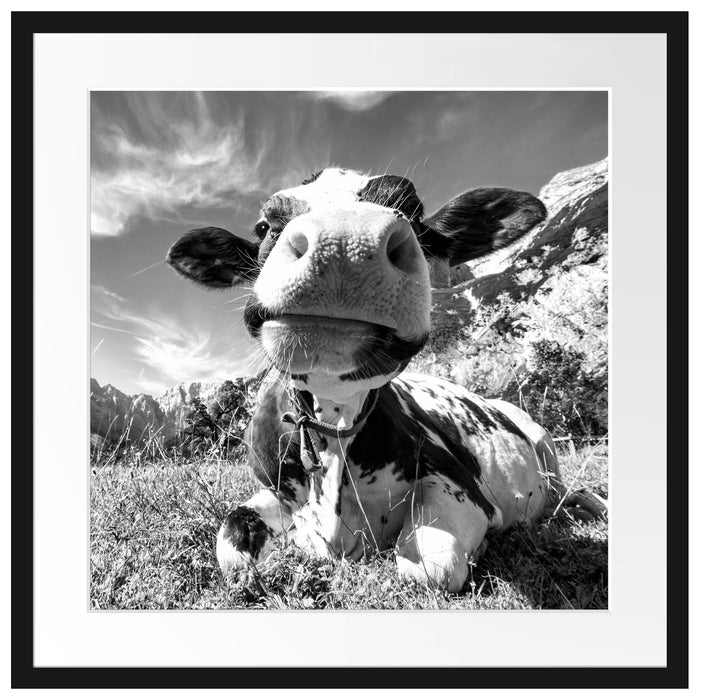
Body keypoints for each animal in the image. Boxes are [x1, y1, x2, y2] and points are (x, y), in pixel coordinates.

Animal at [166, 167, 603, 593]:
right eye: (263, 226)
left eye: (414, 211)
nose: (345, 242)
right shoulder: (272, 490)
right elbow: (233, 545)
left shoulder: (462, 484)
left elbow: (430, 567)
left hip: (543, 441)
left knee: (566, 491)